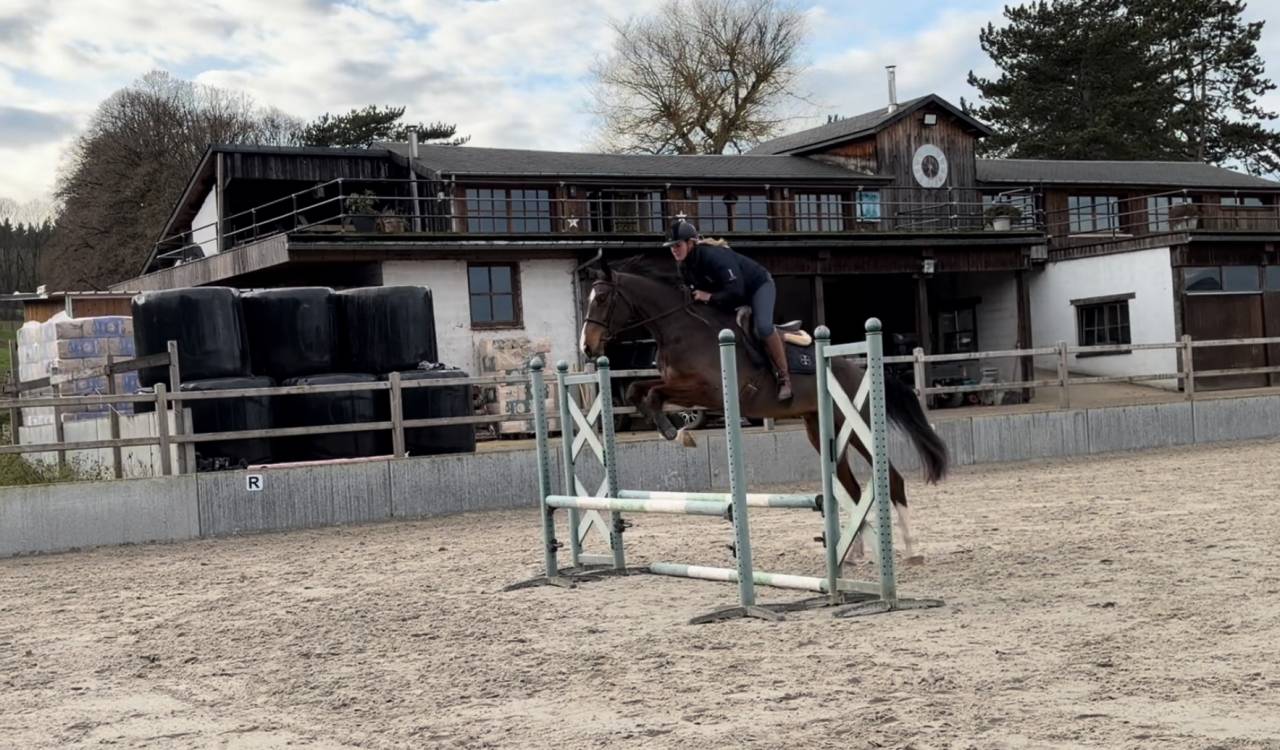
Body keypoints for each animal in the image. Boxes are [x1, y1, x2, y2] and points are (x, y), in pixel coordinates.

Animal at [578, 256, 949, 561]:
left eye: (602, 299)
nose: (587, 348)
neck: (681, 328)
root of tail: (860, 371)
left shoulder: (708, 390)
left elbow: (654, 394)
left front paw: (675, 431)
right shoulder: (678, 385)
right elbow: (636, 389)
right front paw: (669, 427)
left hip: (859, 427)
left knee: (893, 479)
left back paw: (912, 550)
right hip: (824, 431)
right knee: (854, 489)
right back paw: (854, 552)